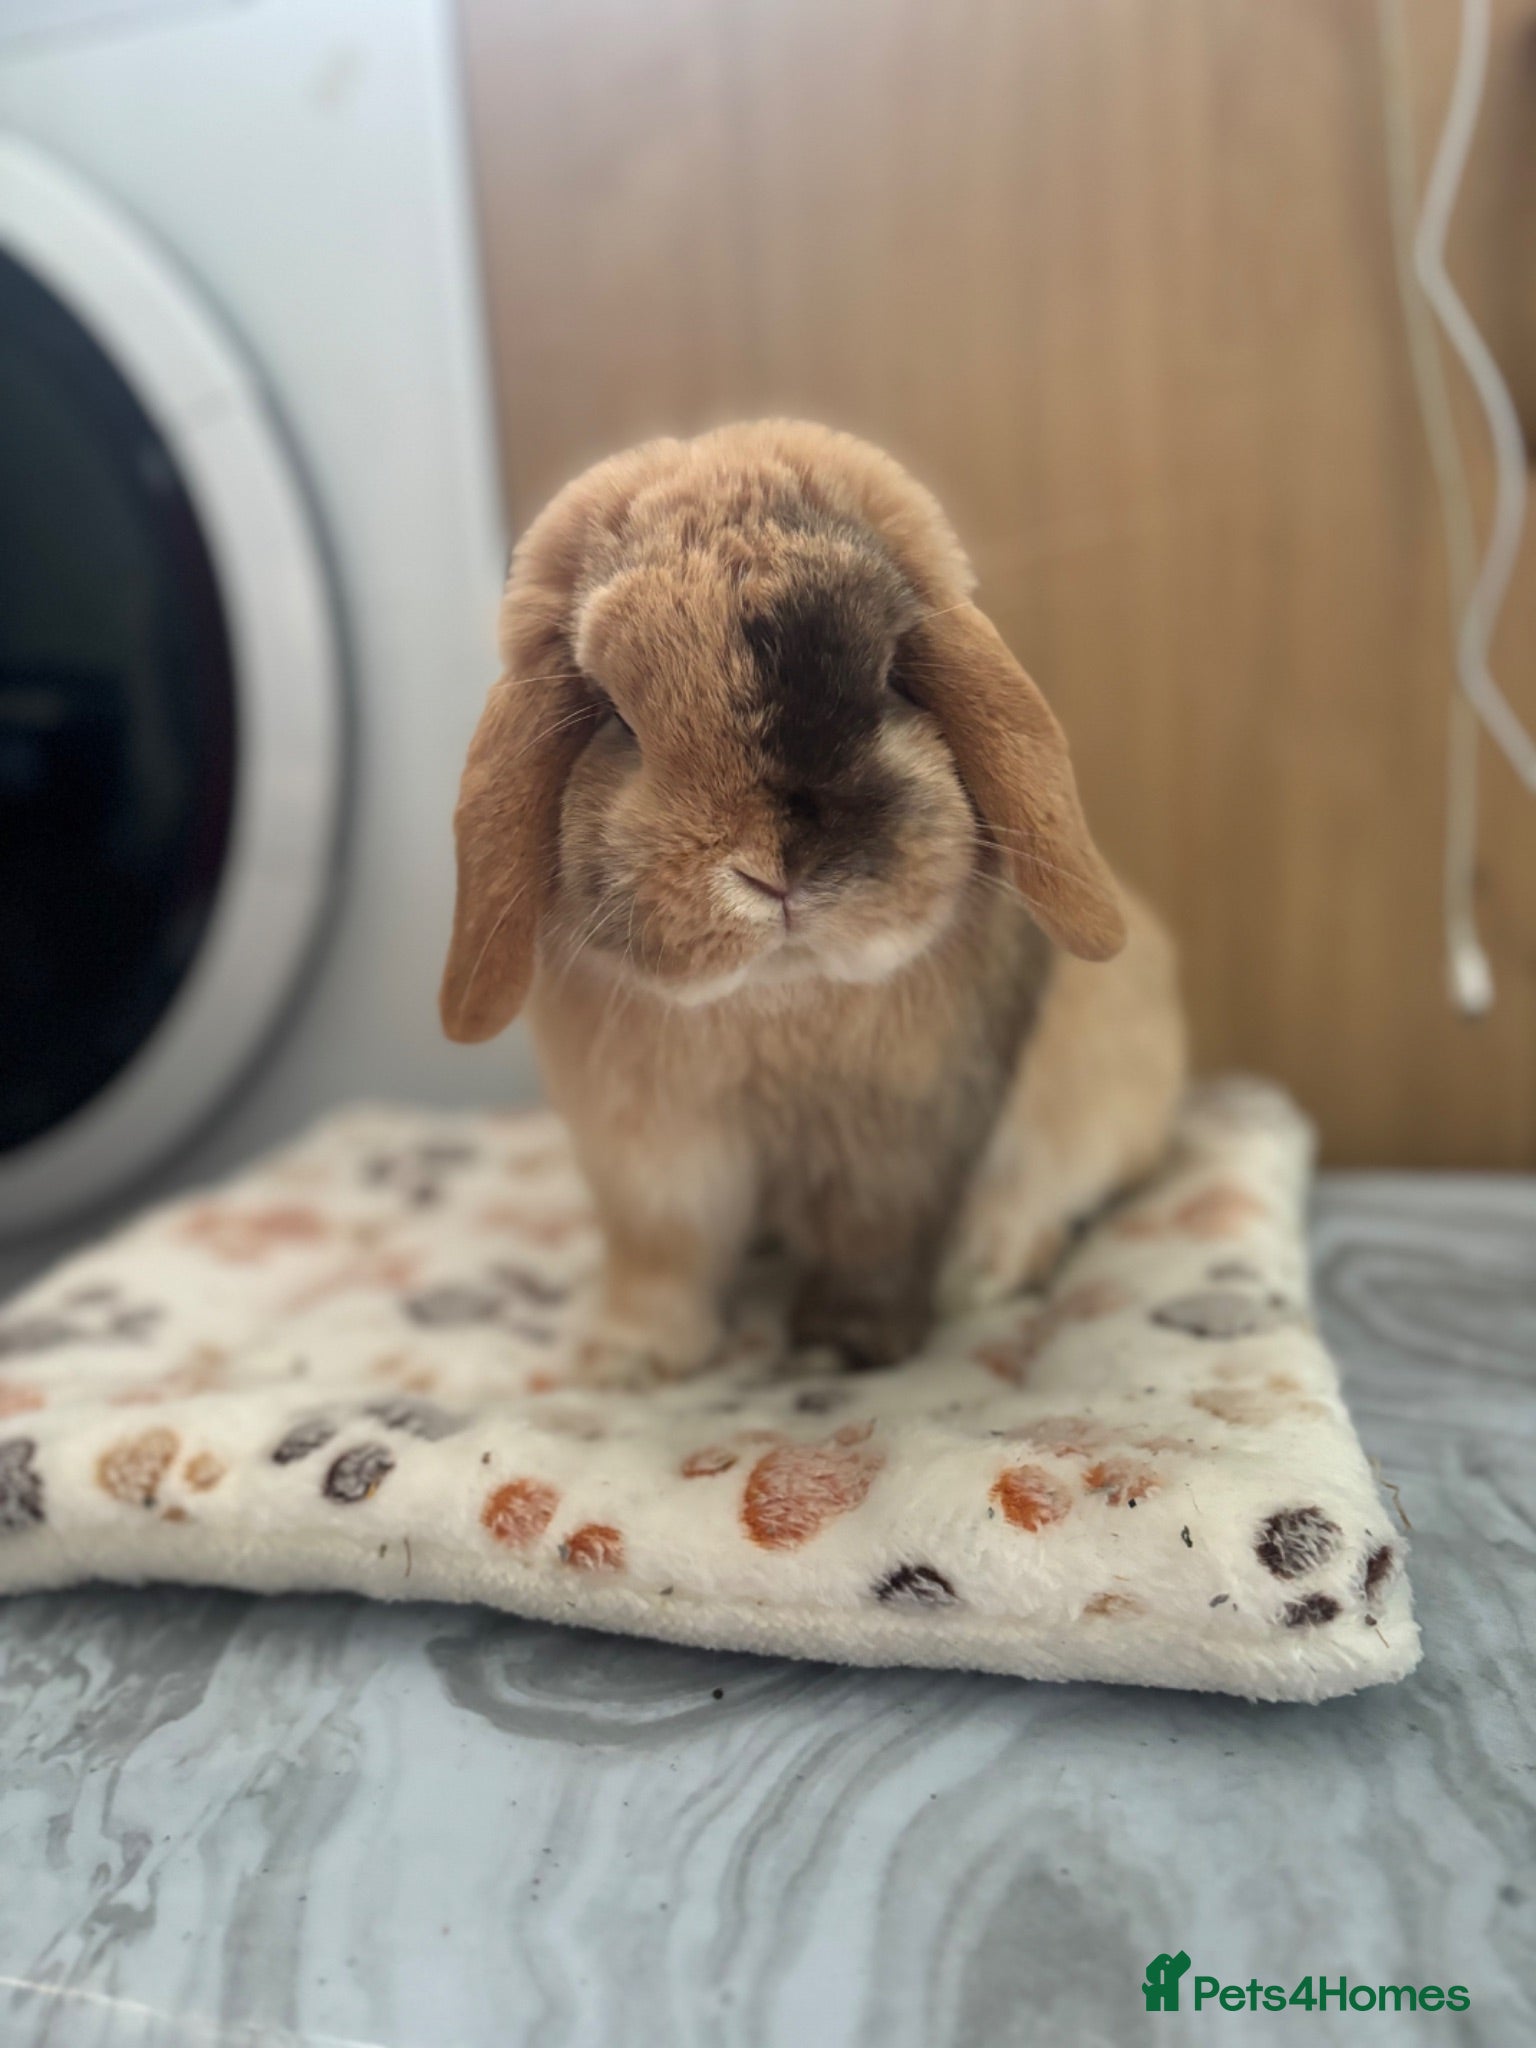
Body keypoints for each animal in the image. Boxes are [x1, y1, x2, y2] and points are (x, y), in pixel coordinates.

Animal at [441, 421, 1186, 1385]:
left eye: (891, 678)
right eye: (614, 718)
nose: (777, 868)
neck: (779, 999)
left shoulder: (900, 1144)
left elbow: (872, 1244)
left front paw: (841, 1350)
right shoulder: (652, 1159)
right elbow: (661, 1255)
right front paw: (628, 1359)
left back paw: (985, 1268)